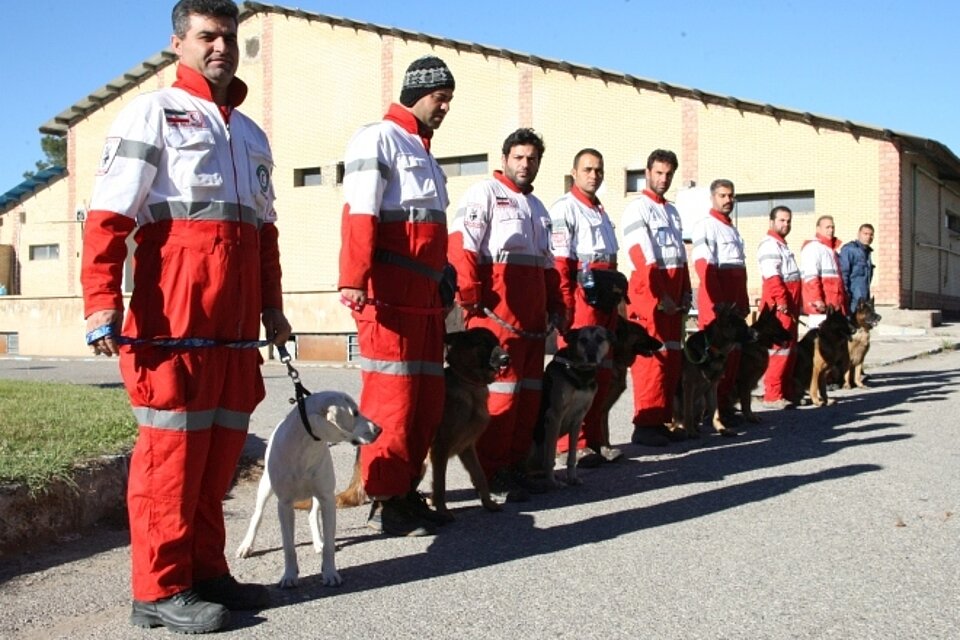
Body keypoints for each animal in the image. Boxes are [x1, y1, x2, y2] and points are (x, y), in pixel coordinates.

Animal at [234, 388, 380, 588]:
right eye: (355, 413)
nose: (379, 430)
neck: (307, 446)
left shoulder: (327, 498)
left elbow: (329, 545)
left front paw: (330, 572)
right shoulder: (285, 504)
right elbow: (288, 546)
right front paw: (289, 576)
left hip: (318, 493)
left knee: (312, 515)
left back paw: (318, 542)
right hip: (265, 486)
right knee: (258, 515)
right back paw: (246, 545)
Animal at [334, 328, 510, 524]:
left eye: (497, 342)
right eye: (483, 343)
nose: (506, 358)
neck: (467, 384)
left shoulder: (467, 448)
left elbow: (480, 476)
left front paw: (488, 503)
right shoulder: (440, 450)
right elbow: (440, 484)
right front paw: (443, 511)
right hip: (419, 462)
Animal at [528, 328, 612, 488]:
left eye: (600, 339)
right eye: (583, 340)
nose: (591, 356)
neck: (580, 373)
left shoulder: (578, 419)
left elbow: (572, 455)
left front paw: (572, 477)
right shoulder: (554, 417)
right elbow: (550, 458)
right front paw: (552, 482)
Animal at [672, 302, 752, 438]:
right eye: (741, 325)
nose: (756, 333)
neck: (712, 349)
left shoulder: (712, 387)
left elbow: (715, 413)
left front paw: (722, 429)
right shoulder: (688, 385)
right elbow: (688, 412)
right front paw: (691, 432)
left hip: (701, 402)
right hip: (676, 401)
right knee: (674, 422)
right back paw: (680, 430)